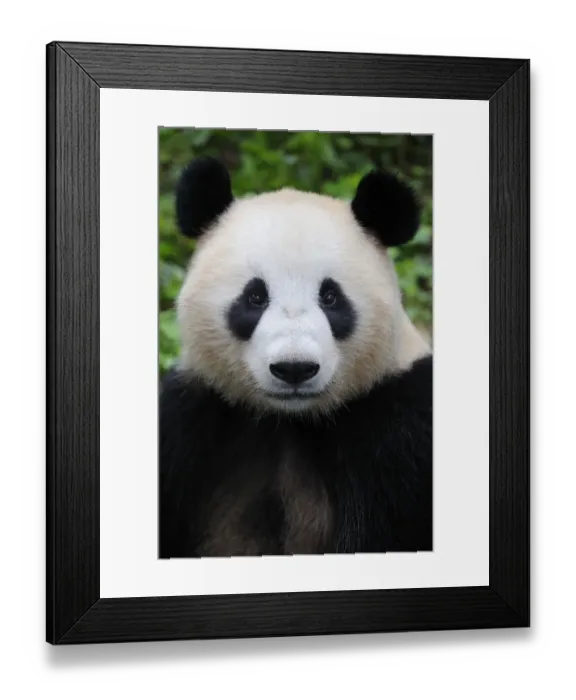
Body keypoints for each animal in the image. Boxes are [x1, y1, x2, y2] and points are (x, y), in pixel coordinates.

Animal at [159, 156, 433, 558]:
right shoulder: (190, 418)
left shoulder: (400, 431)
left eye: (331, 297)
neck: (290, 420)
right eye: (255, 297)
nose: (294, 369)